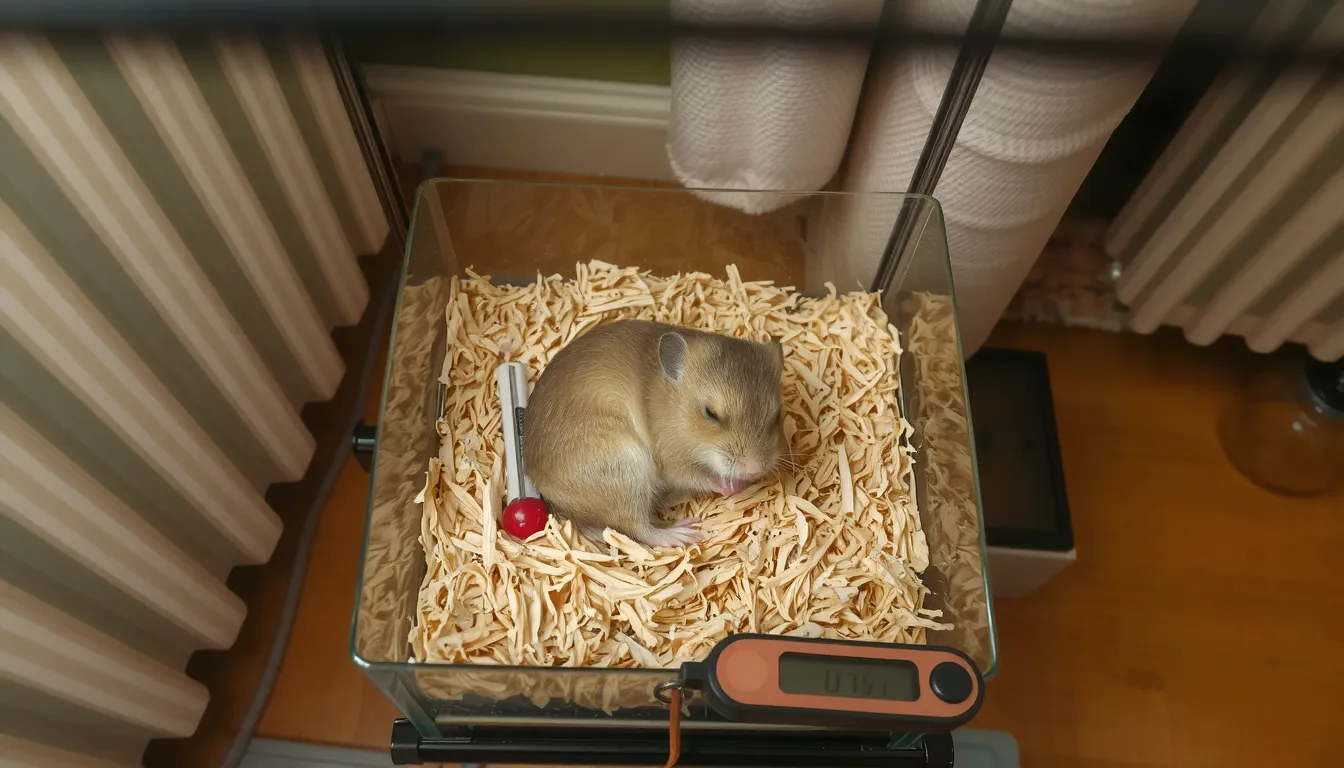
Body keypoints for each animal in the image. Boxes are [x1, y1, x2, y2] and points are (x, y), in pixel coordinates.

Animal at [524, 319, 786, 548]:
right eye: (711, 413)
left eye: (777, 415)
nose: (754, 470)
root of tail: (554, 499)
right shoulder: (671, 462)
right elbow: (700, 477)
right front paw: (733, 486)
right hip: (627, 470)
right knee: (637, 528)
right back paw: (682, 534)